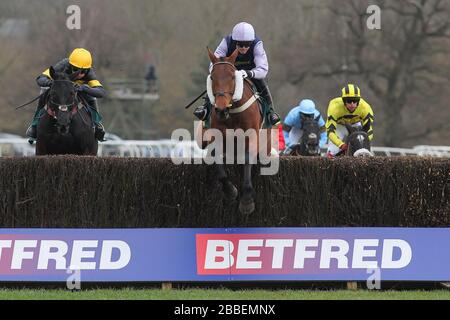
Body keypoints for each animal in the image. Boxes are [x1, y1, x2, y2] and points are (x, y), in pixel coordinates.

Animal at [204, 47, 270, 214]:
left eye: (233, 77)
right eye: (212, 77)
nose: (221, 109)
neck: (232, 112)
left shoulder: (251, 136)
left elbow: (247, 160)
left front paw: (246, 201)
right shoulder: (218, 137)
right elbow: (219, 166)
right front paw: (230, 192)